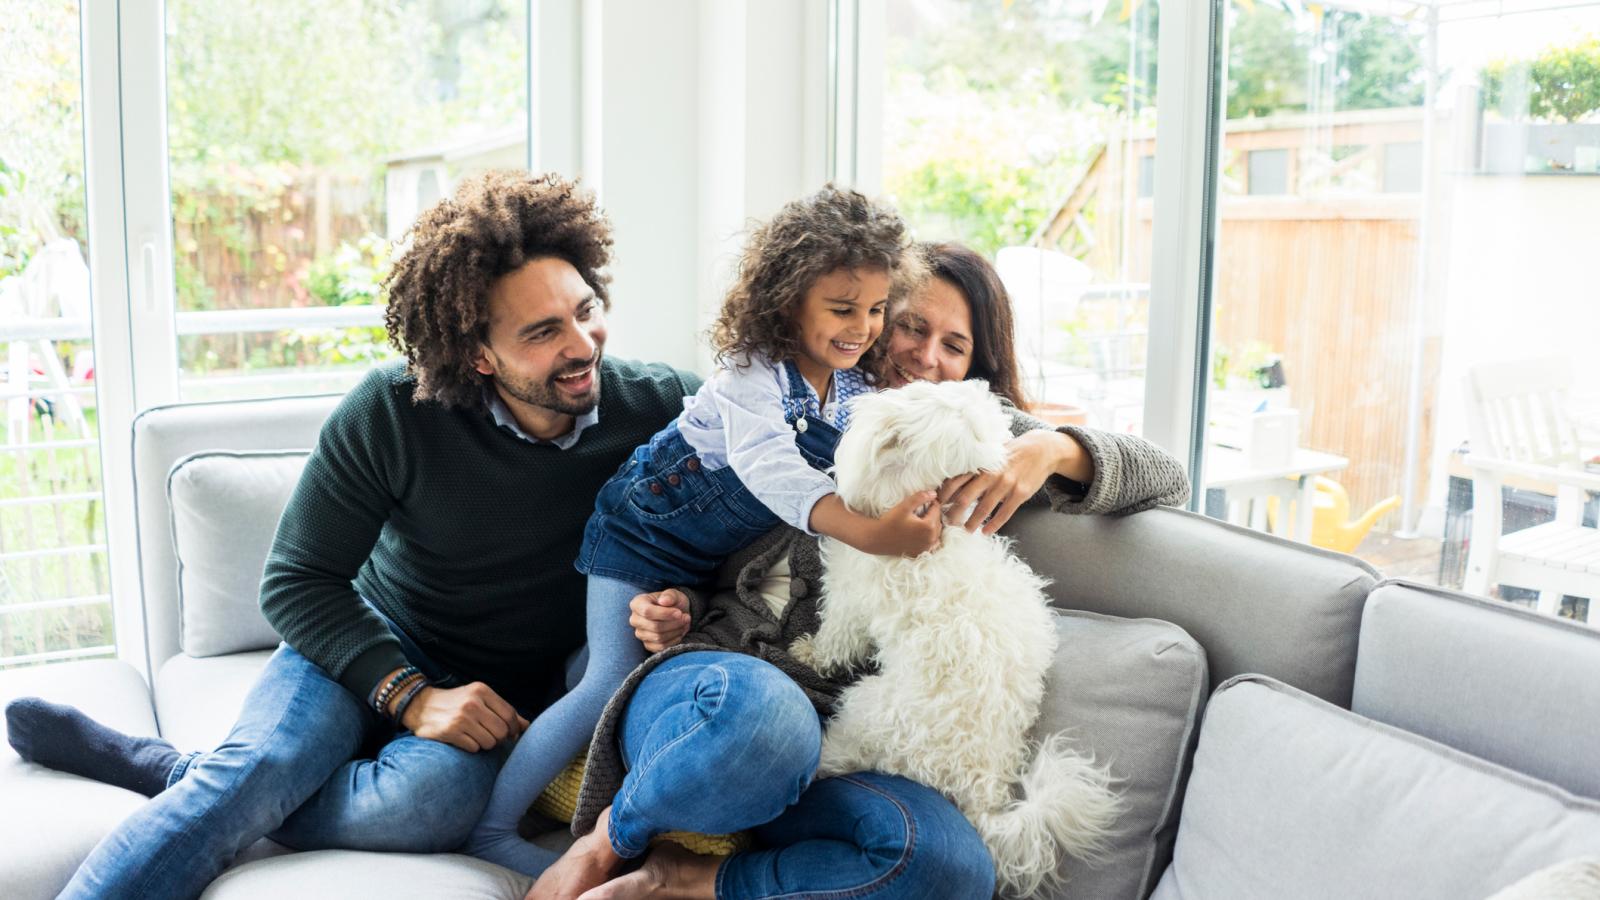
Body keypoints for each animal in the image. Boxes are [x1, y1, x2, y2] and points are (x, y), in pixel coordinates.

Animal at [806, 377, 1120, 896]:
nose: (977, 382)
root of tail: (980, 789)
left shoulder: (849, 600)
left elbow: (834, 639)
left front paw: (808, 652)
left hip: (868, 709)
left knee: (839, 753)